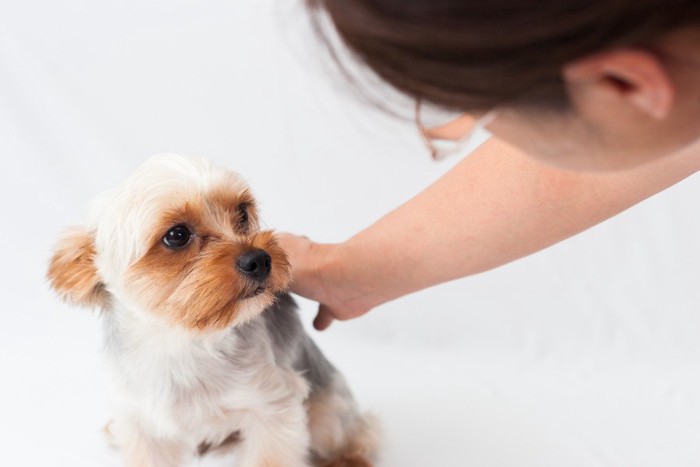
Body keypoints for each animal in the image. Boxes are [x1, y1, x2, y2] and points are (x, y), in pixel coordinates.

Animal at [47, 154, 380, 467]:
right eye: (177, 235)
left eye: (243, 212)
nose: (260, 259)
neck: (180, 342)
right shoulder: (141, 422)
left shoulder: (273, 404)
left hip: (326, 411)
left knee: (357, 431)